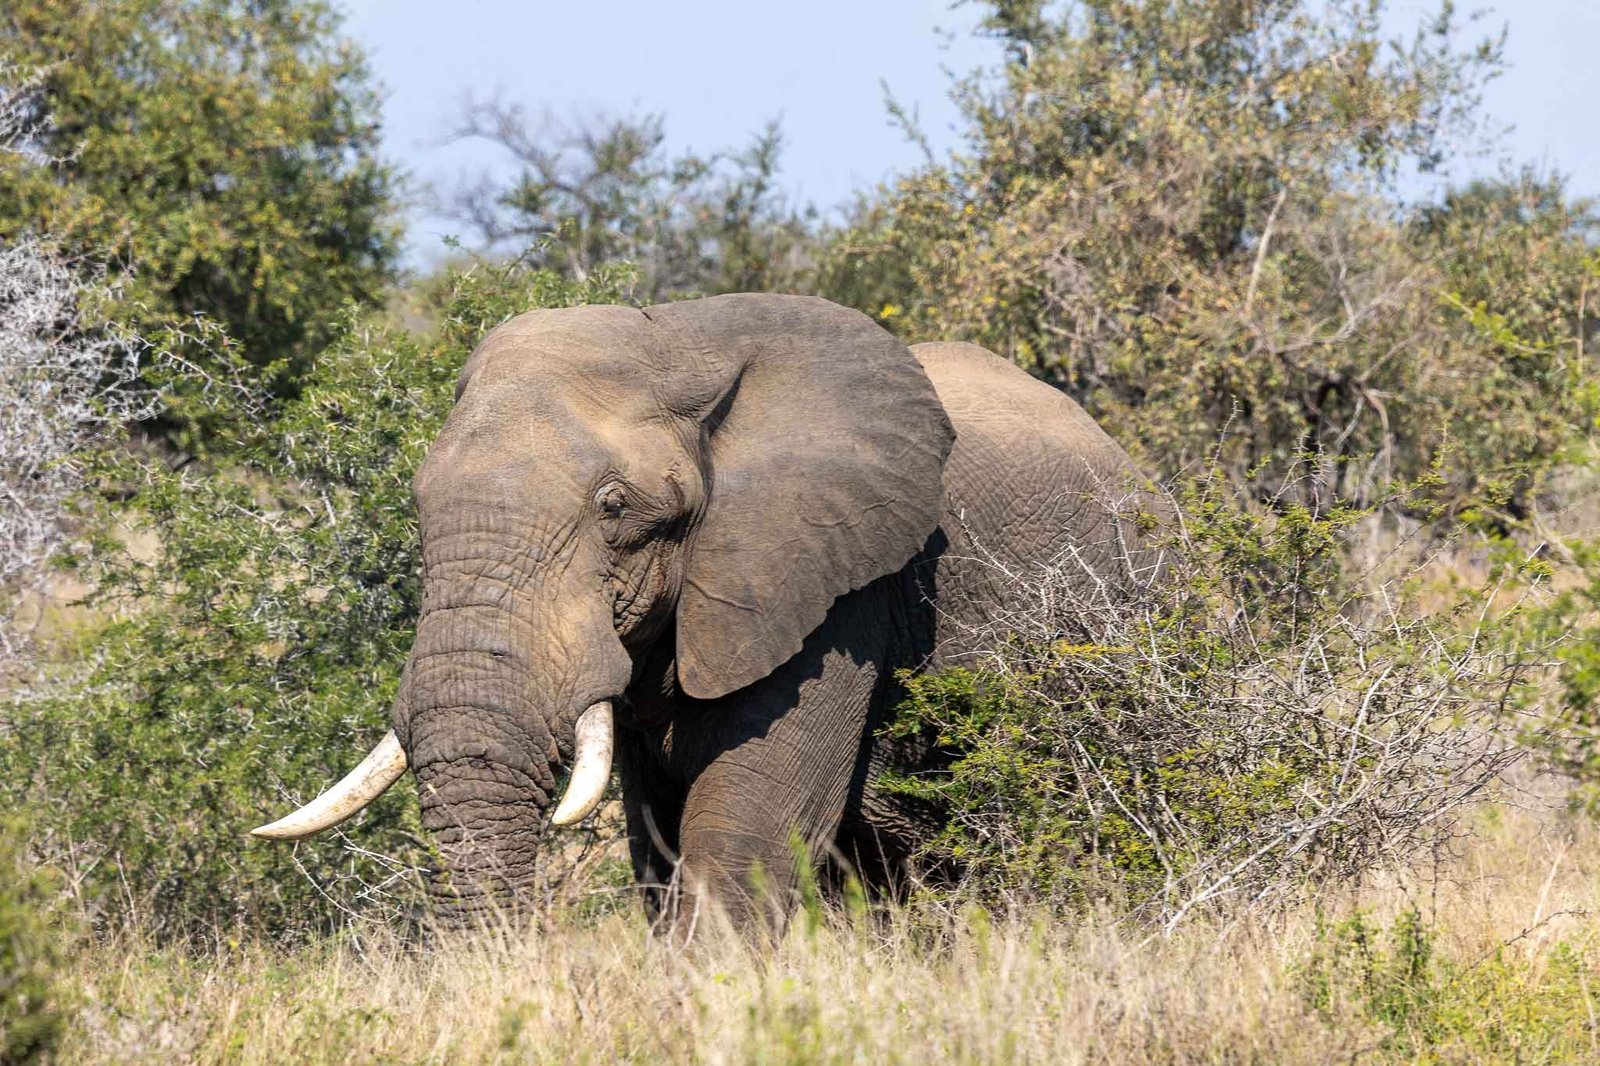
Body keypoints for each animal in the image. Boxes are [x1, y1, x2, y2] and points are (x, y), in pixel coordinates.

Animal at [251, 293, 1157, 935]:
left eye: (615, 507)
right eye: (417, 503)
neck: (682, 342)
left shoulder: (835, 587)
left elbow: (745, 828)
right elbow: (655, 834)